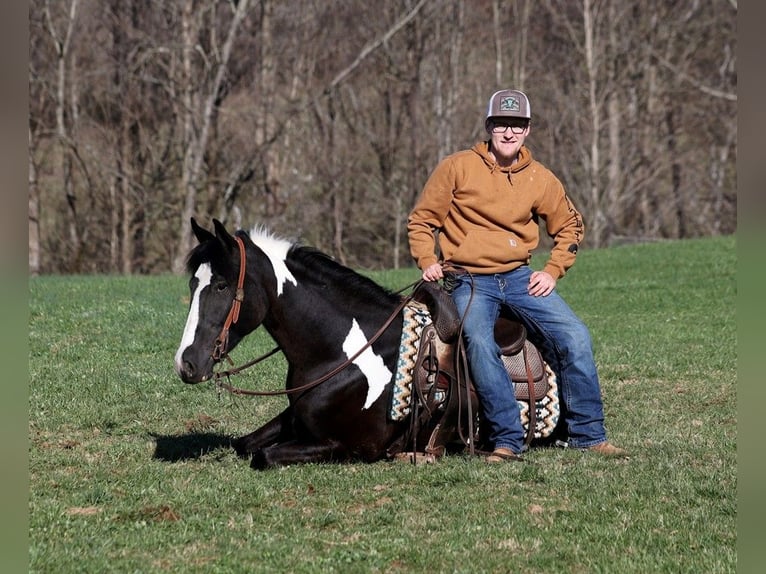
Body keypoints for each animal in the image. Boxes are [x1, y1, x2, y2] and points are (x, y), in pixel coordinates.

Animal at [174, 218, 560, 470]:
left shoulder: (348, 445)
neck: (337, 356)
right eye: (193, 283)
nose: (186, 363)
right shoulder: (296, 419)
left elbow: (262, 455)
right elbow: (244, 444)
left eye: (222, 285)